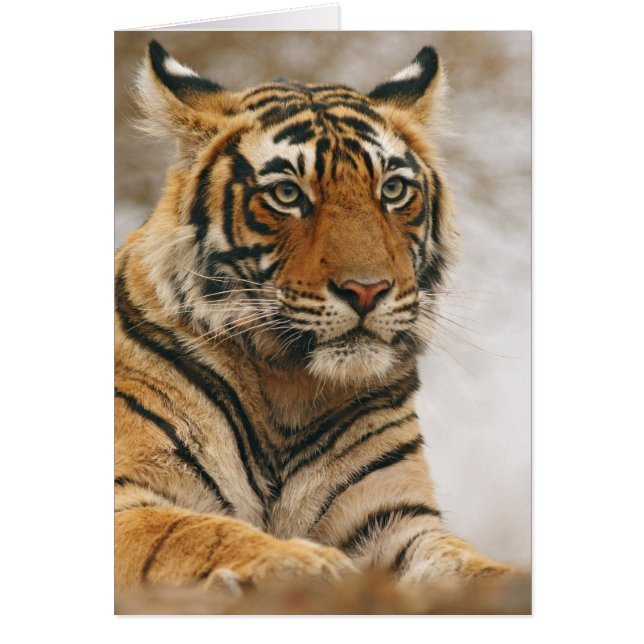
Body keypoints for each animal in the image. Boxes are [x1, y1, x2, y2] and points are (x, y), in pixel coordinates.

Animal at [115, 40, 518, 596]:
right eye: (287, 195)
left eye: (393, 190)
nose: (367, 290)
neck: (288, 389)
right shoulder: (127, 495)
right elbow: (192, 532)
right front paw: (302, 563)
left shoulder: (395, 518)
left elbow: (463, 563)